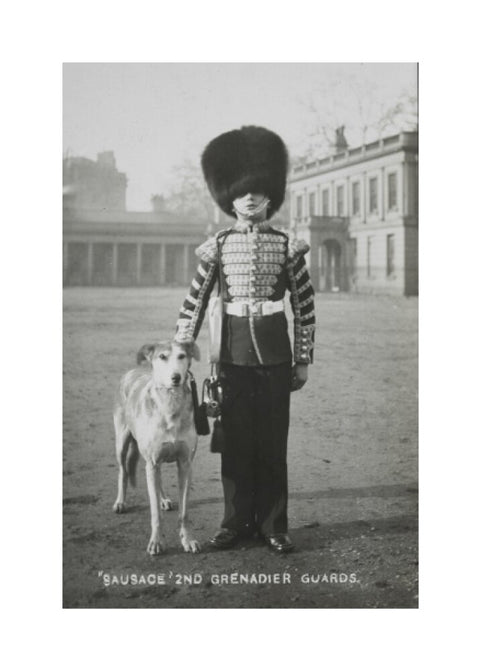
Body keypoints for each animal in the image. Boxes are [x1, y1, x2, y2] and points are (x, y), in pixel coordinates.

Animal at [112, 342, 201, 556]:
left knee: (157, 480)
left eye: (182, 356)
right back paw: (120, 502)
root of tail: (133, 370)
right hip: (122, 442)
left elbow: (184, 512)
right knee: (123, 471)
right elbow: (155, 514)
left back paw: (164, 499)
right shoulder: (152, 462)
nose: (176, 377)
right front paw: (156, 542)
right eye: (162, 357)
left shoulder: (185, 464)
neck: (170, 404)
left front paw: (188, 540)